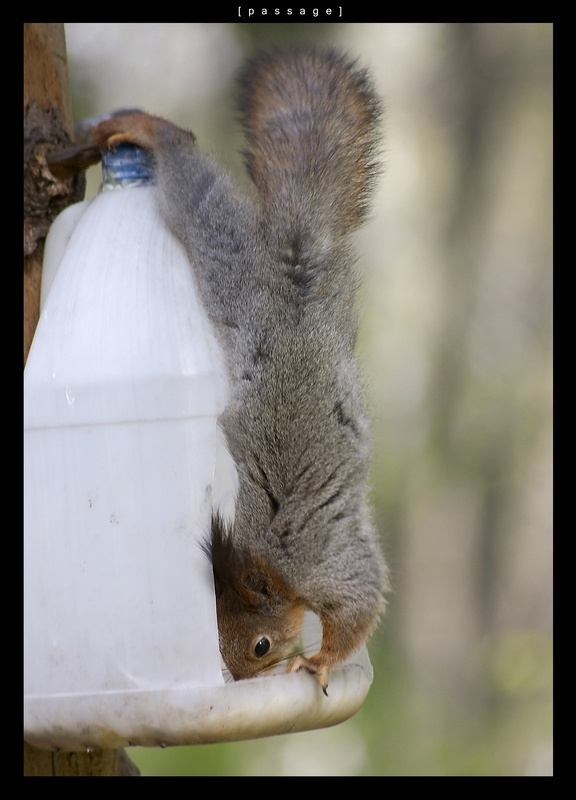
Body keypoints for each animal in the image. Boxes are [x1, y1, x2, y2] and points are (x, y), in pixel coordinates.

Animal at [91, 47, 390, 694]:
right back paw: (152, 131)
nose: (235, 676)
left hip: (228, 272)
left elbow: (359, 606)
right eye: (213, 628)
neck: (265, 567)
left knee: (201, 201)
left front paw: (320, 660)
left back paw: (156, 132)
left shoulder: (322, 562)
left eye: (260, 646)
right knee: (201, 201)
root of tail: (294, 265)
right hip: (234, 281)